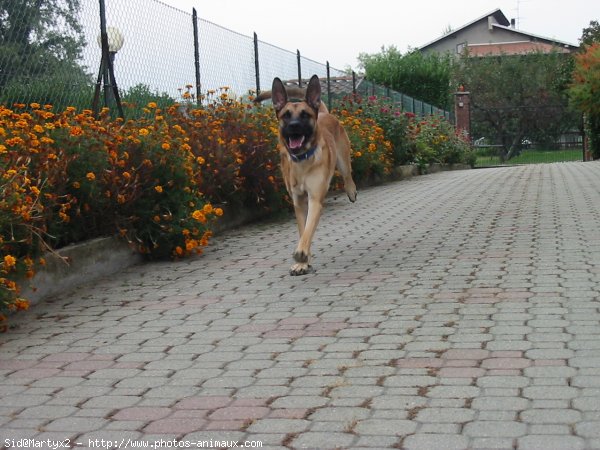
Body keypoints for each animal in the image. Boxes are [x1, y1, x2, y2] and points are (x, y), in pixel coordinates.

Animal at [266, 75, 356, 274]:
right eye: (286, 115)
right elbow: (302, 230)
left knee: (348, 175)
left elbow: (307, 230)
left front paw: (301, 254)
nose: (294, 126)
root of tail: (322, 113)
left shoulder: (315, 199)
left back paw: (351, 191)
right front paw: (303, 263)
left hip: (343, 160)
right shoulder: (299, 201)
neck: (302, 160)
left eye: (304, 115)